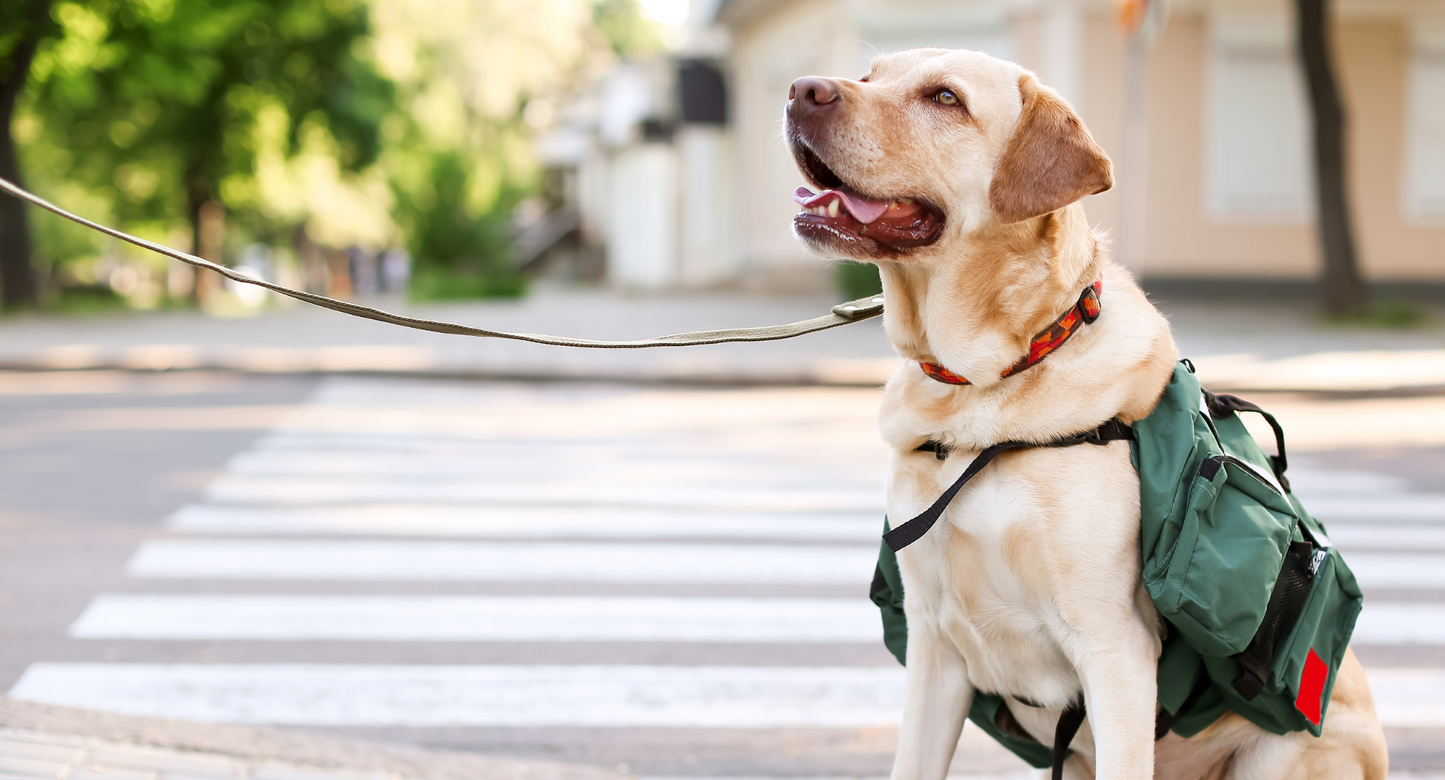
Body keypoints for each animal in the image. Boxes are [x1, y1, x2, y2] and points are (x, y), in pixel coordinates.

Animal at [786, 48, 1392, 780]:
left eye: (944, 98)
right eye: (870, 75)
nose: (800, 90)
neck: (982, 391)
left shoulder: (1113, 650)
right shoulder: (934, 645)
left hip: (1283, 753)